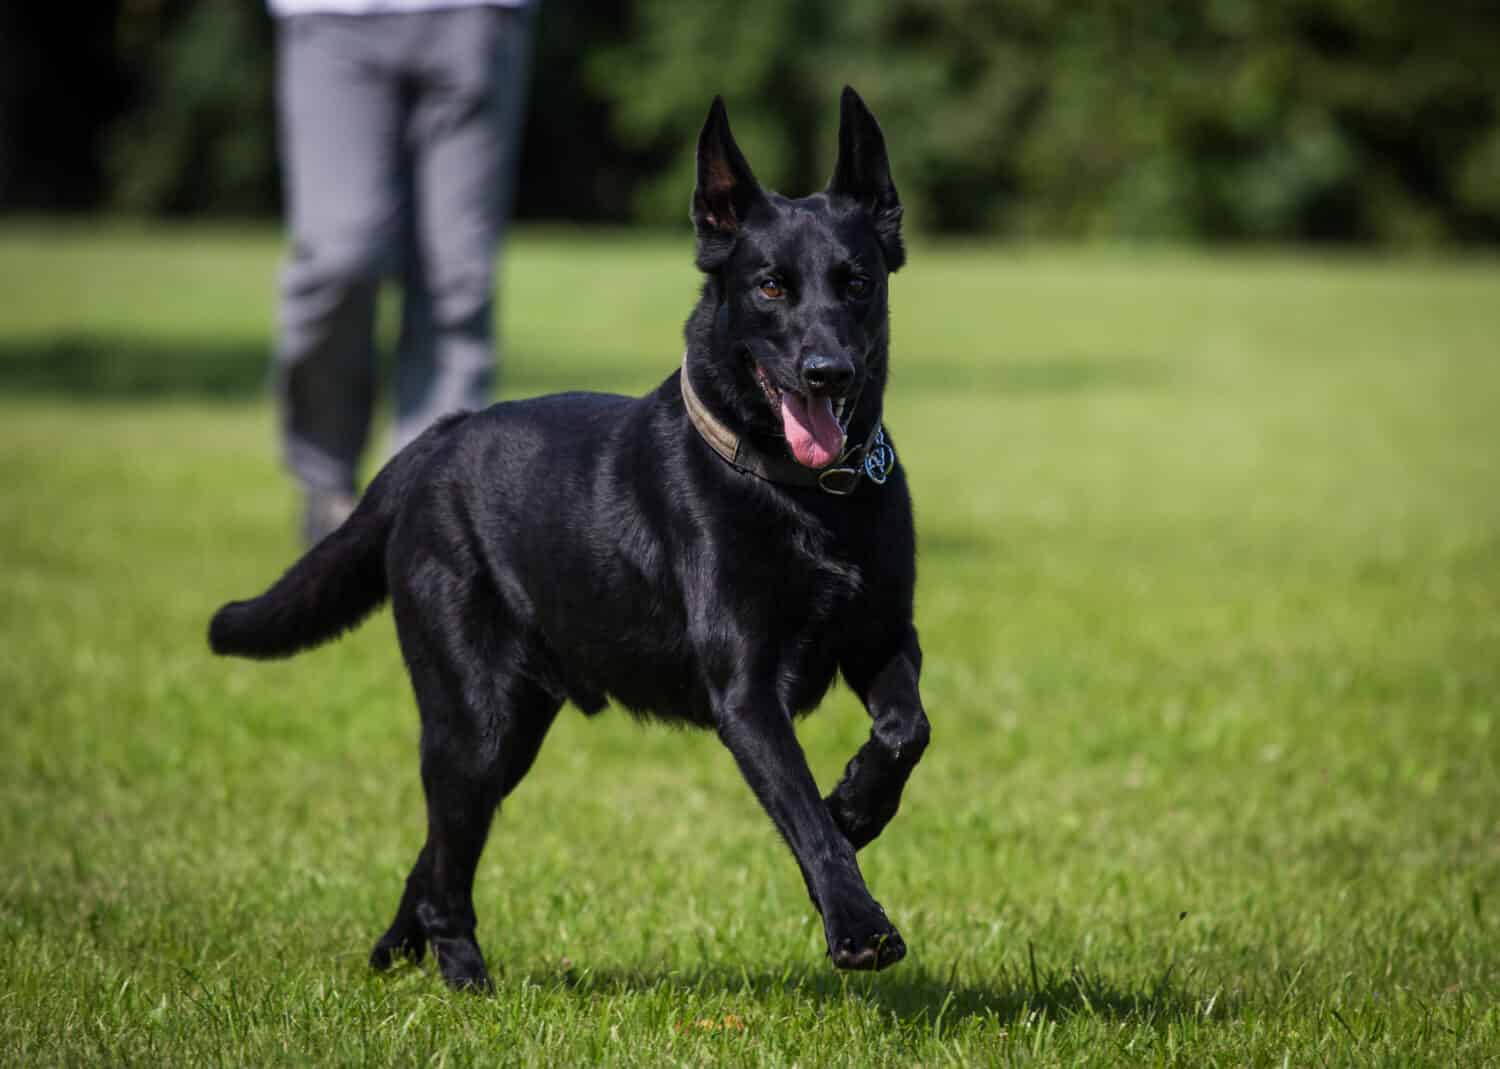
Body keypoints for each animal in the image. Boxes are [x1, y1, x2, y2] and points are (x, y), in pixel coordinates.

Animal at [214, 87, 924, 989]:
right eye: (769, 287)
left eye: (856, 283)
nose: (828, 370)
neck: (805, 501)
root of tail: (437, 441)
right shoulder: (747, 695)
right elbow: (804, 817)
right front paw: (859, 921)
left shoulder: (881, 637)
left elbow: (905, 731)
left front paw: (857, 802)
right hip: (475, 720)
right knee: (449, 860)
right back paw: (463, 975)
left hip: (512, 729)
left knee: (437, 851)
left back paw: (399, 951)